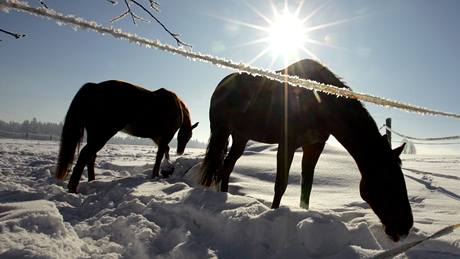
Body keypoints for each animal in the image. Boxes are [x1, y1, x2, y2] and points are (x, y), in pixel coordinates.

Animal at [54, 80, 198, 193]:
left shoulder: (157, 137)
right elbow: (160, 154)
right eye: (188, 136)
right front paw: (157, 174)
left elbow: (164, 151)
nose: (180, 151)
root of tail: (94, 86)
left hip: (94, 133)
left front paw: (167, 169)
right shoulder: (165, 136)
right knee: (86, 154)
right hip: (103, 133)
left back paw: (92, 181)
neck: (177, 107)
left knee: (91, 155)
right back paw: (73, 188)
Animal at [199, 59, 412, 242]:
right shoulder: (288, 144)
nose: (405, 227)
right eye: (387, 180)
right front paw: (273, 214)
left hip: (240, 137)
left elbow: (306, 187)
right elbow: (281, 185)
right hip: (220, 131)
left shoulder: (314, 146)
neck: (319, 102)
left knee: (227, 167)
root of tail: (221, 85)